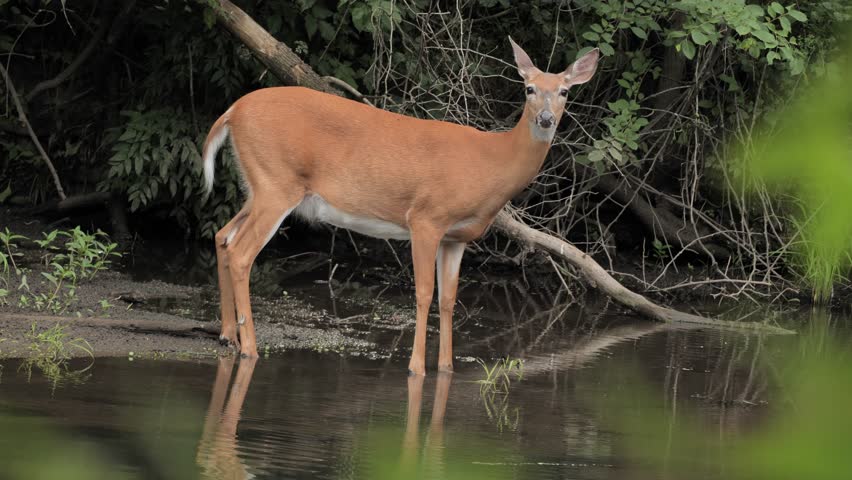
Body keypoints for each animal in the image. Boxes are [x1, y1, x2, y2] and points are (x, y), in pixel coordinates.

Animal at [201, 37, 599, 376]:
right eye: (529, 88)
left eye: (564, 91)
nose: (545, 119)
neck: (491, 164)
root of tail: (232, 111)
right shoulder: (426, 217)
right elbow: (424, 293)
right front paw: (416, 367)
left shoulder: (457, 238)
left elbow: (449, 299)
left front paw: (447, 368)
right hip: (277, 184)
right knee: (240, 252)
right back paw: (250, 347)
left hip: (260, 186)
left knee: (223, 234)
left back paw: (228, 335)